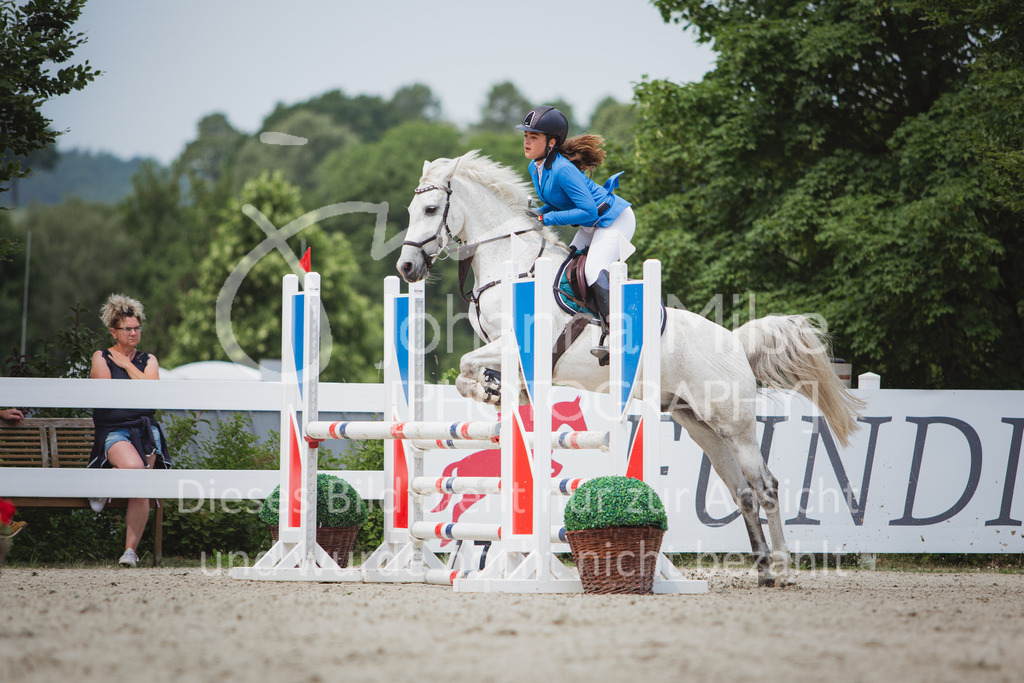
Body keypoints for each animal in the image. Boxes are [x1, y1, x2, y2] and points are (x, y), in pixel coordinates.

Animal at [396, 151, 864, 587]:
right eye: (410, 210)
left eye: (432, 209)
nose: (406, 268)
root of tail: (734, 341)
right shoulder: (499, 347)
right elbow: (468, 371)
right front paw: (493, 391)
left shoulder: (516, 345)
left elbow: (466, 363)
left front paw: (489, 389)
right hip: (699, 425)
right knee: (743, 493)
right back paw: (765, 569)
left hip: (736, 425)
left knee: (765, 488)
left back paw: (784, 569)